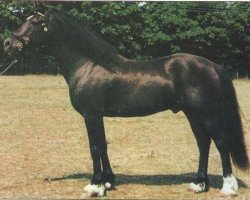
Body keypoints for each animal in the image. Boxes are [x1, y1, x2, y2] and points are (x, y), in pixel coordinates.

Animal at [3, 9, 248, 197]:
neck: (88, 65)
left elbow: (95, 147)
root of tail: (212, 65)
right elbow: (103, 146)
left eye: (35, 22)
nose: (8, 44)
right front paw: (108, 182)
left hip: (207, 114)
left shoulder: (91, 114)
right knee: (203, 143)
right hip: (193, 114)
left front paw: (94, 186)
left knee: (221, 143)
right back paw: (198, 184)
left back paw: (228, 187)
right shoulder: (98, 115)